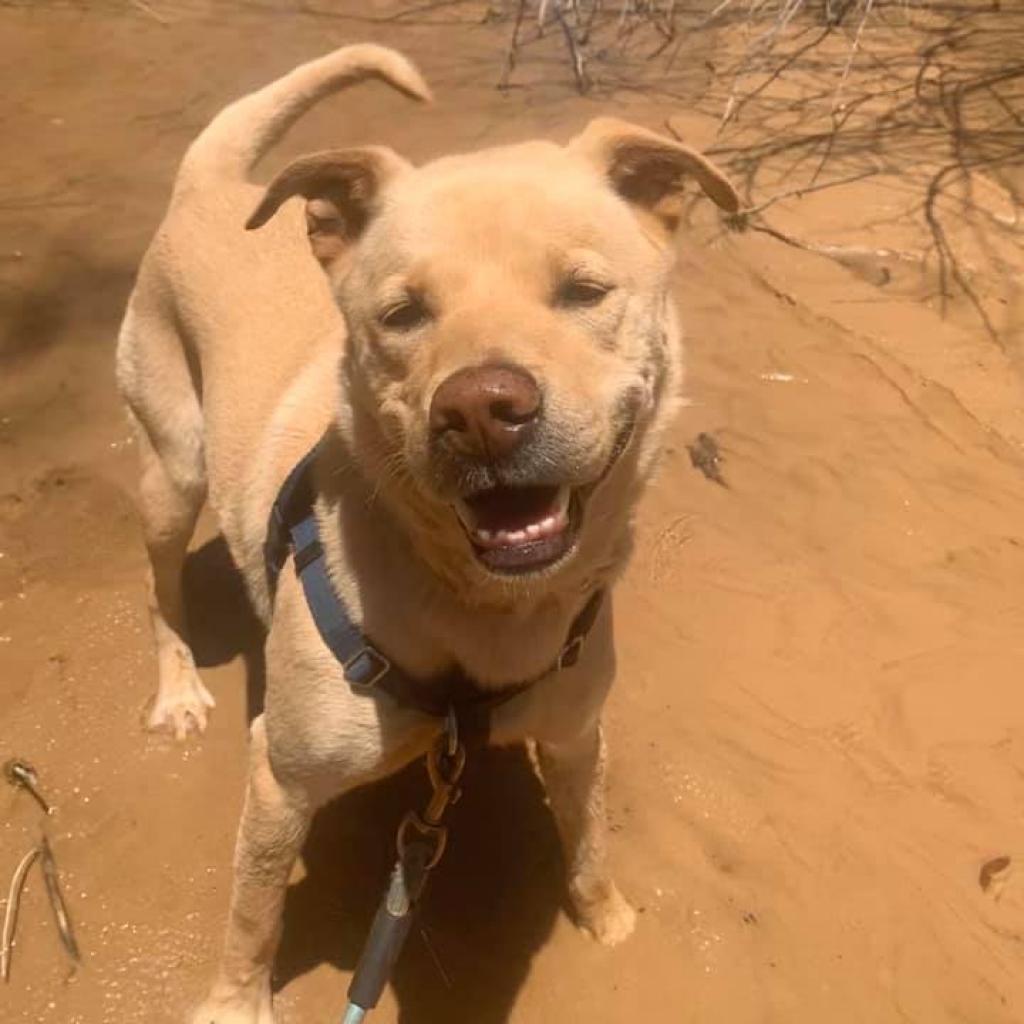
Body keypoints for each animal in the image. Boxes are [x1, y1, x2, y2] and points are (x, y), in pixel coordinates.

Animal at [117, 44, 737, 1019]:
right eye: (402, 314)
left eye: (584, 291)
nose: (481, 411)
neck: (484, 610)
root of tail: (209, 184)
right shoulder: (279, 779)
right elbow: (253, 915)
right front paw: (233, 1006)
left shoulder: (574, 735)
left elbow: (589, 836)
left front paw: (608, 921)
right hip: (172, 467)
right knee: (159, 588)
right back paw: (177, 688)